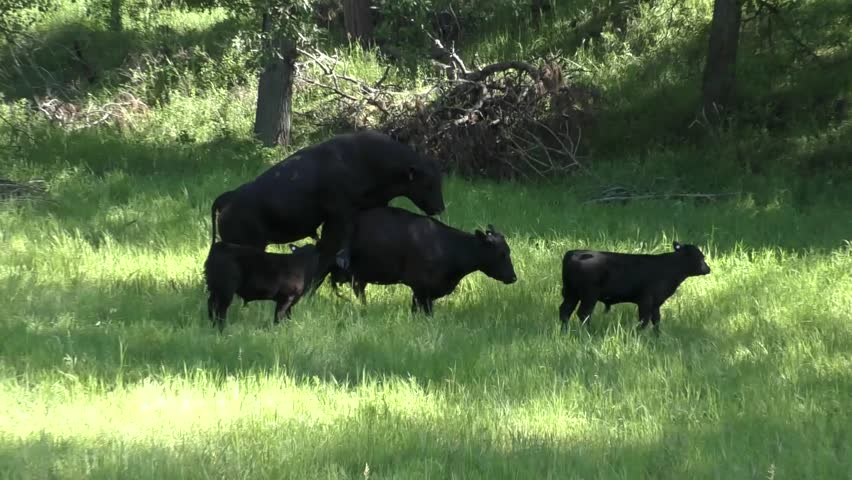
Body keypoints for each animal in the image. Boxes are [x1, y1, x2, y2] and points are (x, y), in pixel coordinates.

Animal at [211, 130, 446, 278]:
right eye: (429, 184)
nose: (440, 207)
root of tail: (229, 198)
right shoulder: (341, 212)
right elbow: (345, 234)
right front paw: (343, 259)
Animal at [560, 242, 712, 336]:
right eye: (701, 257)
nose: (708, 268)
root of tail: (574, 253)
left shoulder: (656, 303)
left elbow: (656, 320)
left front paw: (658, 337)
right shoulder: (646, 300)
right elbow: (644, 320)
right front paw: (636, 334)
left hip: (571, 293)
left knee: (565, 311)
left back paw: (564, 331)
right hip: (589, 295)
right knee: (584, 313)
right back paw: (588, 333)